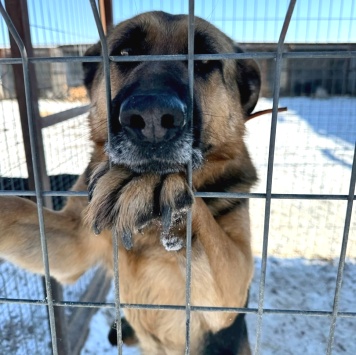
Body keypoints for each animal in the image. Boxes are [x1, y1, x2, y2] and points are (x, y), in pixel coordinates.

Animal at [0, 11, 262, 355]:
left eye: (205, 60)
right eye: (124, 53)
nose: (152, 118)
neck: (149, 232)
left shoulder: (233, 292)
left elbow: (209, 232)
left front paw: (147, 180)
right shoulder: (72, 243)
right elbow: (13, 209)